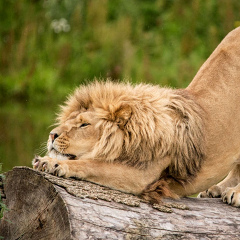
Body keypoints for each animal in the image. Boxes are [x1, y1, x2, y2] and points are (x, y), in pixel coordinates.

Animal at [32, 26, 240, 206]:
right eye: (68, 121)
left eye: (84, 125)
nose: (52, 135)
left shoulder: (143, 175)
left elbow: (91, 164)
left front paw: (50, 163)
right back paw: (216, 189)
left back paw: (234, 194)